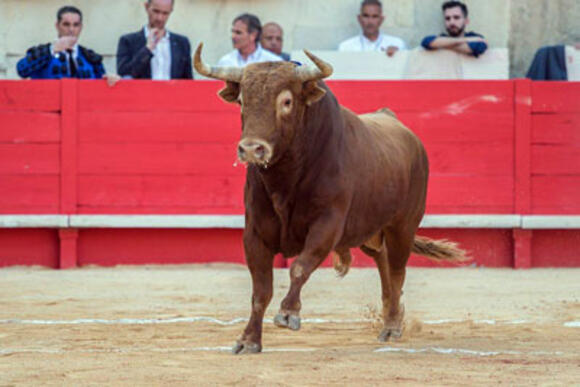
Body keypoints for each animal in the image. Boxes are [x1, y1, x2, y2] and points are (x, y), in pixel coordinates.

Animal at [195, 43, 466, 354]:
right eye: (241, 101)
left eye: (287, 101)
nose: (252, 149)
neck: (286, 178)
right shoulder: (255, 233)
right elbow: (260, 291)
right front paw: (249, 340)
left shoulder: (327, 224)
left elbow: (299, 267)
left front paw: (288, 313)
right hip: (370, 232)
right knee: (384, 263)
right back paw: (390, 320)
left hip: (403, 226)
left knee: (398, 270)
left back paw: (392, 326)